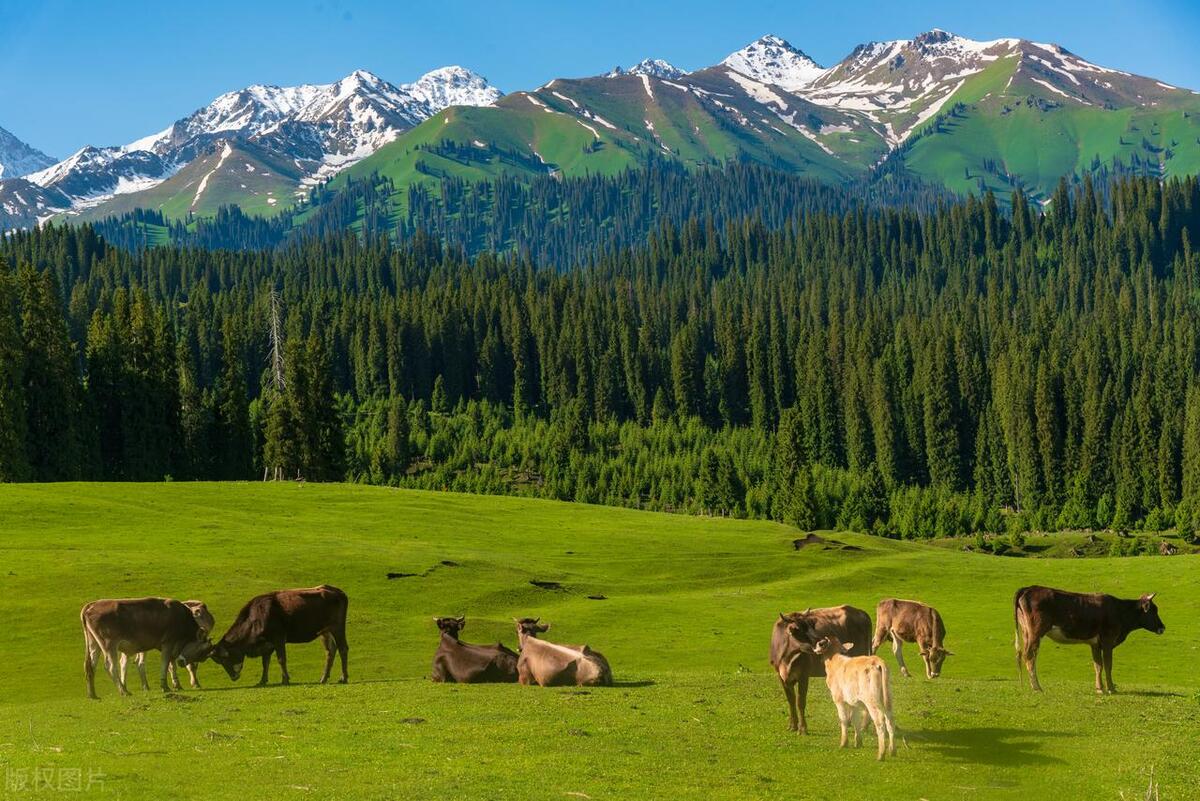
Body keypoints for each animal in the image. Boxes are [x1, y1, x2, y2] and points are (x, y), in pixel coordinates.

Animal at [83, 594, 214, 700]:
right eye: (200, 652)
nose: (183, 663)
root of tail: (93, 604)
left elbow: (171, 664)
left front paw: (177, 685)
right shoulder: (168, 643)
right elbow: (165, 663)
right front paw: (165, 686)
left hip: (94, 644)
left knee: (91, 667)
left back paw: (92, 694)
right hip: (109, 644)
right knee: (110, 666)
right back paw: (123, 691)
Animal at [204, 585, 348, 685]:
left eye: (224, 659)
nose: (234, 677)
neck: (255, 618)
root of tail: (338, 591)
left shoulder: (278, 638)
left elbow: (281, 659)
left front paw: (285, 679)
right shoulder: (267, 644)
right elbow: (265, 662)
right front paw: (262, 681)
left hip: (337, 628)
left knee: (343, 649)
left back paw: (344, 677)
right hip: (325, 632)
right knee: (330, 651)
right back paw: (323, 678)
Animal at [768, 604, 873, 733]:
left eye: (812, 624)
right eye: (796, 629)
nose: (823, 642)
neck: (787, 658)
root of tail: (861, 612)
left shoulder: (803, 675)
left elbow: (800, 701)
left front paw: (803, 728)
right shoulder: (781, 676)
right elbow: (791, 700)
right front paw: (792, 725)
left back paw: (863, 725)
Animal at [811, 633, 897, 762]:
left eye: (820, 643)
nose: (814, 648)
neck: (835, 661)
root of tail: (877, 660)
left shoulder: (839, 700)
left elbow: (843, 720)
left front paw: (844, 743)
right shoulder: (854, 702)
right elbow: (855, 720)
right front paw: (858, 742)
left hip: (872, 701)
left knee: (880, 722)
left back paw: (881, 754)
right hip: (887, 698)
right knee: (890, 720)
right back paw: (892, 751)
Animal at [1012, 582, 1161, 695]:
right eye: (1154, 610)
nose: (1162, 627)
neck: (1119, 611)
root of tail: (1030, 588)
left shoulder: (1094, 644)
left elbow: (1098, 665)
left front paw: (1100, 689)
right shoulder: (1108, 640)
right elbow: (1108, 664)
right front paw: (1111, 689)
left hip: (1026, 632)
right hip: (1036, 632)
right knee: (1030, 655)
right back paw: (1037, 687)